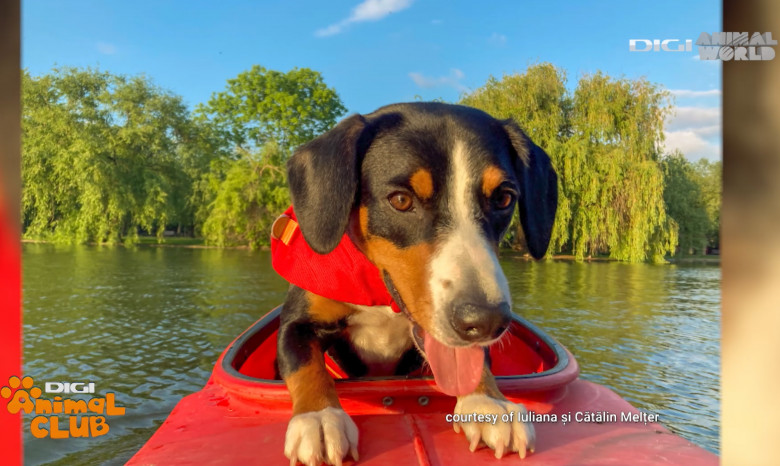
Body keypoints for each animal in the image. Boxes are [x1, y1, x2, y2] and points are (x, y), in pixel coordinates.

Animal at [272, 103, 556, 466]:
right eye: (401, 200)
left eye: (504, 198)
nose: (486, 320)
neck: (382, 296)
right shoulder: (297, 323)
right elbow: (305, 365)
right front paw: (320, 418)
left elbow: (477, 360)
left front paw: (489, 403)